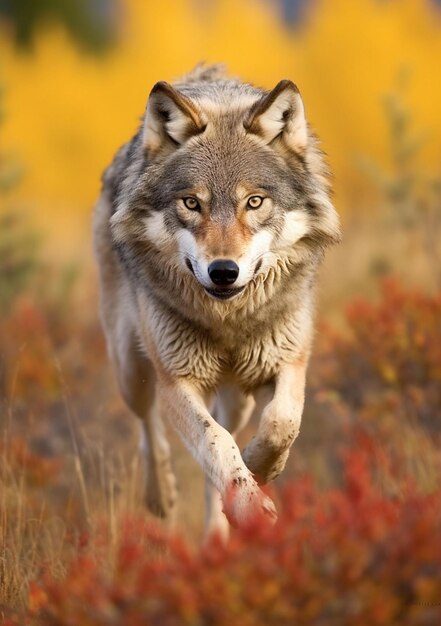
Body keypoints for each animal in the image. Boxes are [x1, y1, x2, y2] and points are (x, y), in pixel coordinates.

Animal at [93, 64, 340, 536]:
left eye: (254, 202)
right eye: (192, 203)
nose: (223, 271)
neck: (228, 322)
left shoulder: (287, 360)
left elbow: (280, 423)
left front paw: (258, 470)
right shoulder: (177, 379)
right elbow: (215, 443)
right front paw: (250, 504)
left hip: (236, 397)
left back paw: (216, 536)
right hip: (130, 366)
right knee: (148, 425)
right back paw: (162, 495)